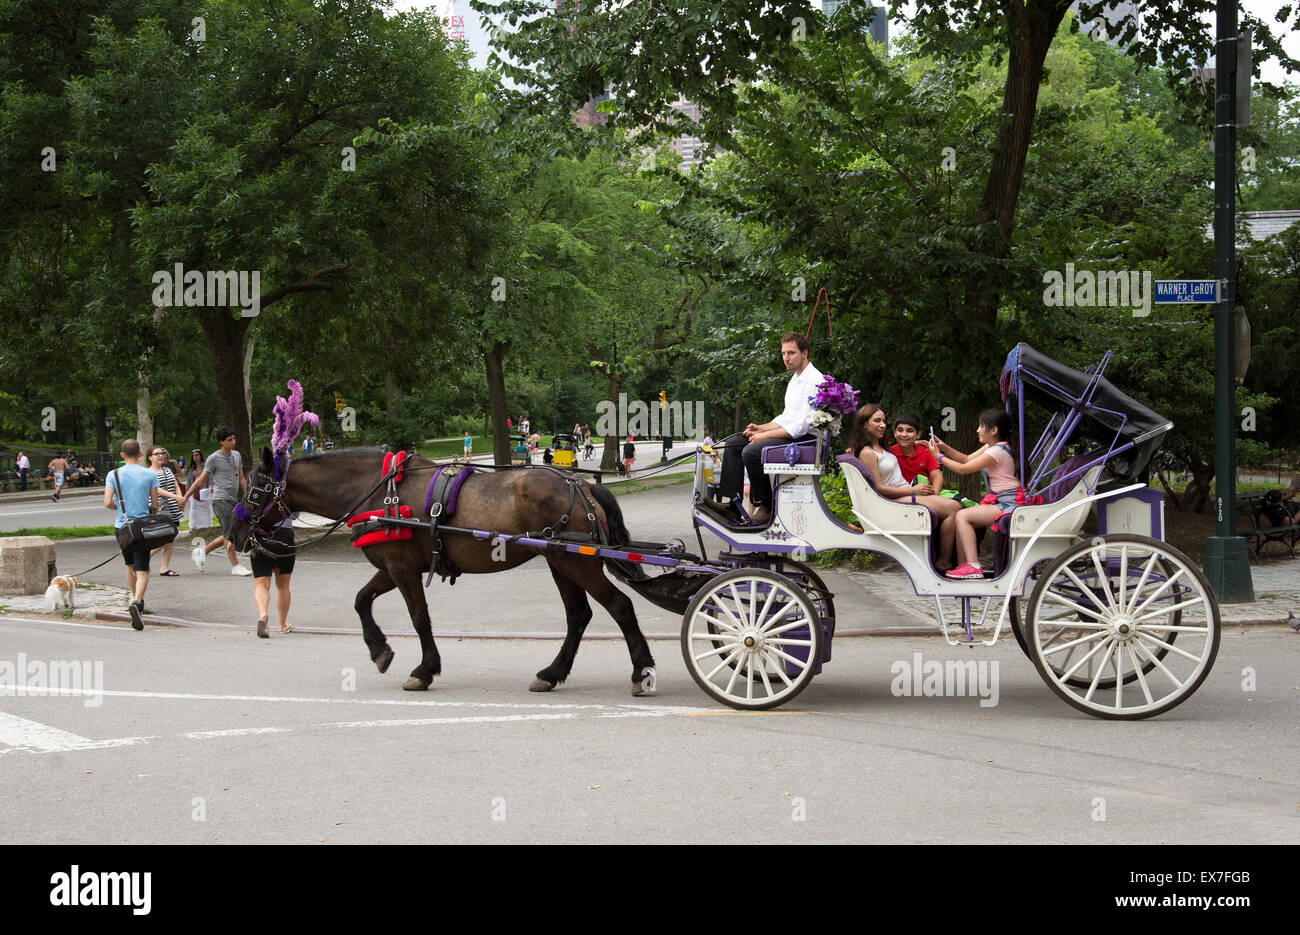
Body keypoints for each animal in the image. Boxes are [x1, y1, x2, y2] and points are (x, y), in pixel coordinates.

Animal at [226, 449, 660, 697]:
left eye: (253, 490)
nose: (234, 534)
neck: (379, 492)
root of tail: (581, 485)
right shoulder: (392, 568)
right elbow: (361, 601)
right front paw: (380, 650)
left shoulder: (402, 569)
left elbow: (420, 618)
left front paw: (423, 670)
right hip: (560, 562)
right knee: (578, 616)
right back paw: (552, 674)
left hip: (576, 562)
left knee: (620, 607)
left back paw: (641, 670)